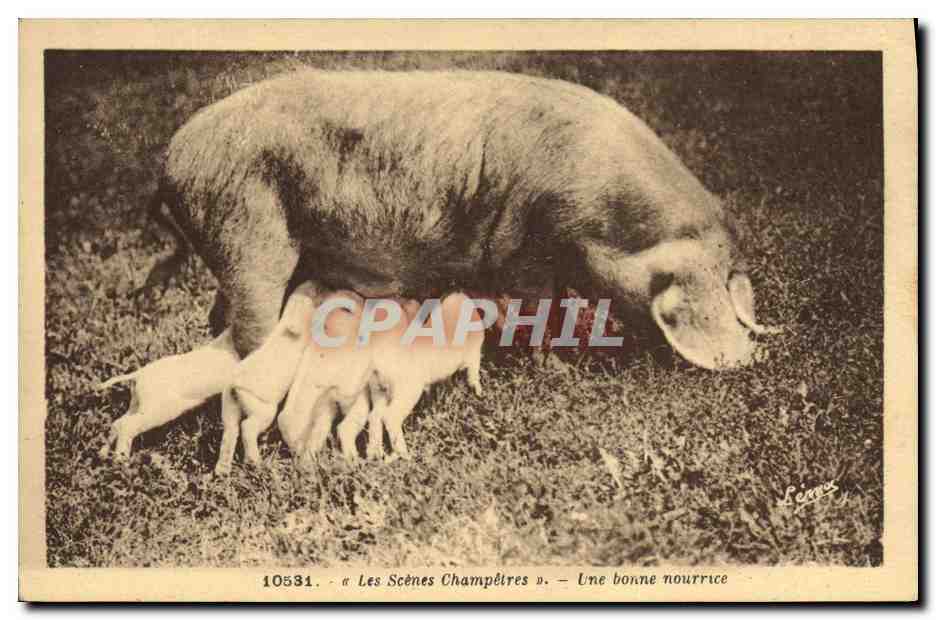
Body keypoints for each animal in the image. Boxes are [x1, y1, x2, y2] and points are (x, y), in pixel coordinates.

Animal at [150, 69, 775, 369]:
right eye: (706, 277)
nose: (746, 360)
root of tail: (172, 156)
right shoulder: (524, 245)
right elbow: (535, 304)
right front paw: (549, 364)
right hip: (246, 230)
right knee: (247, 335)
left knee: (219, 316)